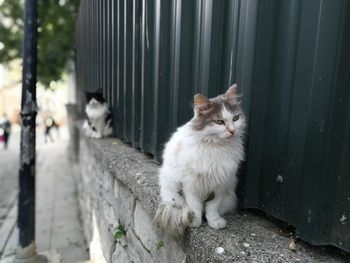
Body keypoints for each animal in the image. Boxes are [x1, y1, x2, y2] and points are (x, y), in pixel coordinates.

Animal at [156, 84, 246, 237]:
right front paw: (195, 222)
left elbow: (212, 207)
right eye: (219, 121)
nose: (232, 131)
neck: (216, 147)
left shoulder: (220, 185)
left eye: (236, 118)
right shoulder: (190, 184)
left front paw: (214, 222)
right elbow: (195, 206)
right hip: (172, 191)